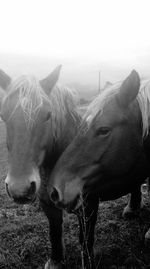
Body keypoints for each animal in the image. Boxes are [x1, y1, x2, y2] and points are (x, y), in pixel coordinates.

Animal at [0, 65, 90, 268]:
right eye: (3, 115)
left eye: (48, 115)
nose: (19, 189)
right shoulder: (46, 202)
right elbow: (54, 231)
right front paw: (56, 260)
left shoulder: (87, 204)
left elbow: (86, 239)